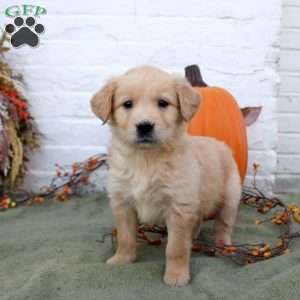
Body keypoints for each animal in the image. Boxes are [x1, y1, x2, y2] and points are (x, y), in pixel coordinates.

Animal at [91, 65, 241, 286]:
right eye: (127, 104)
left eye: (163, 103)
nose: (144, 126)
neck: (145, 159)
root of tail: (221, 144)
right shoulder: (123, 201)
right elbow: (125, 237)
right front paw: (122, 259)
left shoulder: (179, 204)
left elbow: (176, 247)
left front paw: (176, 275)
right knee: (197, 220)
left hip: (230, 197)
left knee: (223, 224)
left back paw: (223, 246)